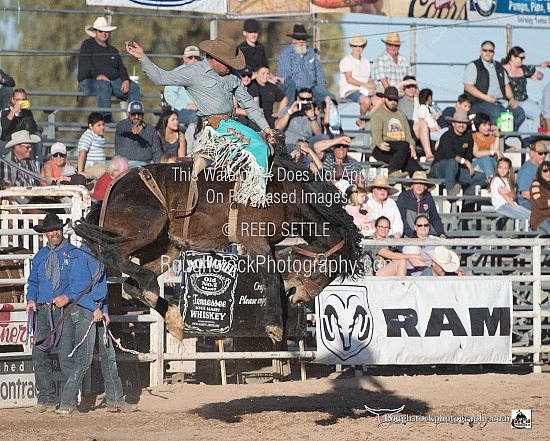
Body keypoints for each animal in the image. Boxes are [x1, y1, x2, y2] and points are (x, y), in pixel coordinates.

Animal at [74, 151, 366, 340]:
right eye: (327, 270)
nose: (301, 297)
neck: (285, 193)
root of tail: (117, 184)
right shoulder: (254, 240)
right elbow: (272, 277)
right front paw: (275, 327)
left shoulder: (268, 245)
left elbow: (273, 277)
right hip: (143, 231)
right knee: (113, 255)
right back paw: (154, 291)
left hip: (165, 248)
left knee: (131, 284)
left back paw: (174, 319)